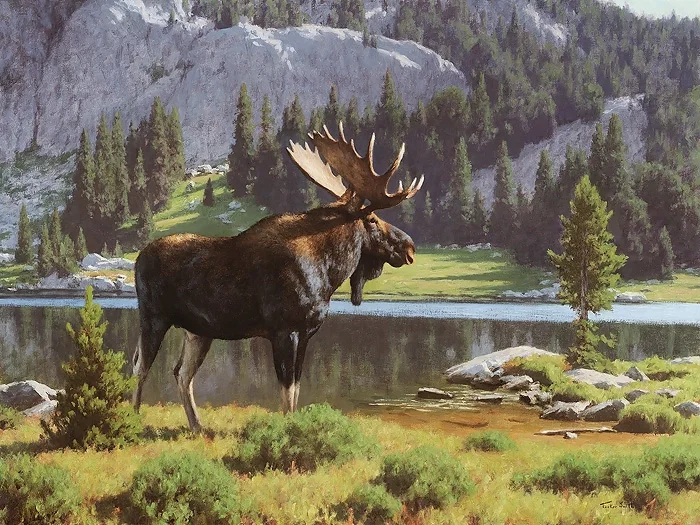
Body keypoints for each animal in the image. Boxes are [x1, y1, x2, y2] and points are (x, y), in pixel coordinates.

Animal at [131, 122, 424, 432]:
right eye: (372, 219)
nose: (409, 247)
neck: (329, 273)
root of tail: (137, 259)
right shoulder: (284, 330)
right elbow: (286, 390)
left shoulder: (306, 333)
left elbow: (295, 388)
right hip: (153, 317)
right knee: (141, 366)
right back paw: (134, 417)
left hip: (198, 331)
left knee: (181, 373)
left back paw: (198, 426)